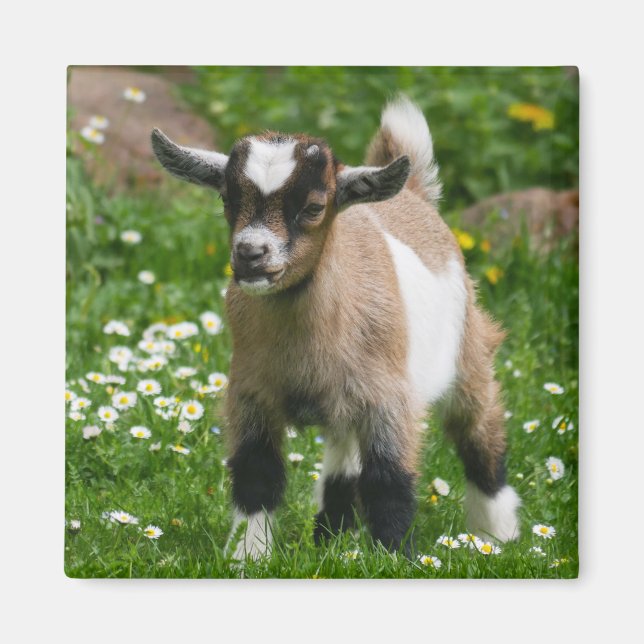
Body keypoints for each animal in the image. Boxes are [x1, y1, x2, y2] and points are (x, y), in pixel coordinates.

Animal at [151, 96, 520, 559]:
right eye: (226, 200)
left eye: (313, 207)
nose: (250, 254)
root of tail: (414, 195)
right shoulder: (250, 393)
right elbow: (257, 474)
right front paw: (247, 556)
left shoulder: (389, 399)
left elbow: (389, 480)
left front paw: (395, 557)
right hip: (345, 403)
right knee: (343, 459)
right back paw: (332, 537)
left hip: (468, 353)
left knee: (479, 434)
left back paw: (497, 536)